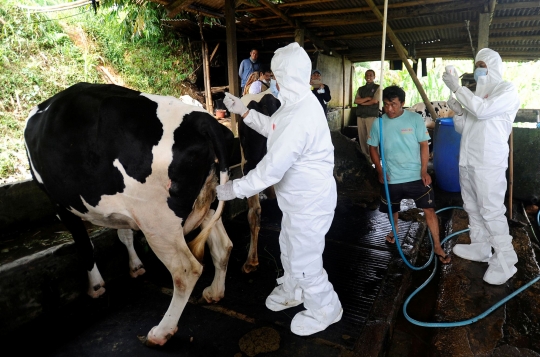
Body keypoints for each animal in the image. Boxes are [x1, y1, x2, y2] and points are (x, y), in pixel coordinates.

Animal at [24, 82, 234, 344]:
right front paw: (135, 266)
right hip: (206, 200)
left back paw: (161, 332)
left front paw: (96, 286)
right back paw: (214, 292)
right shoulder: (121, 204)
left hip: (158, 223)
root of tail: (204, 120)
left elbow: (84, 245)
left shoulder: (60, 204)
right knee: (223, 246)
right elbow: (124, 233)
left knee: (186, 271)